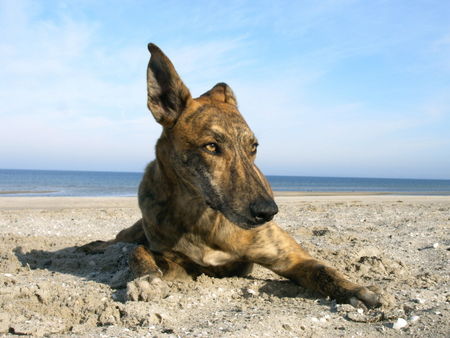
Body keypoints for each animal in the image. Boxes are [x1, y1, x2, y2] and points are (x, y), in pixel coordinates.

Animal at [81, 43, 384, 308]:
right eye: (211, 146)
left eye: (254, 147)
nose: (267, 212)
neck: (203, 216)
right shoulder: (176, 262)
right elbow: (138, 252)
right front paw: (146, 279)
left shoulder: (289, 258)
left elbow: (323, 270)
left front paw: (356, 289)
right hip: (136, 228)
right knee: (122, 240)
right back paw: (93, 246)